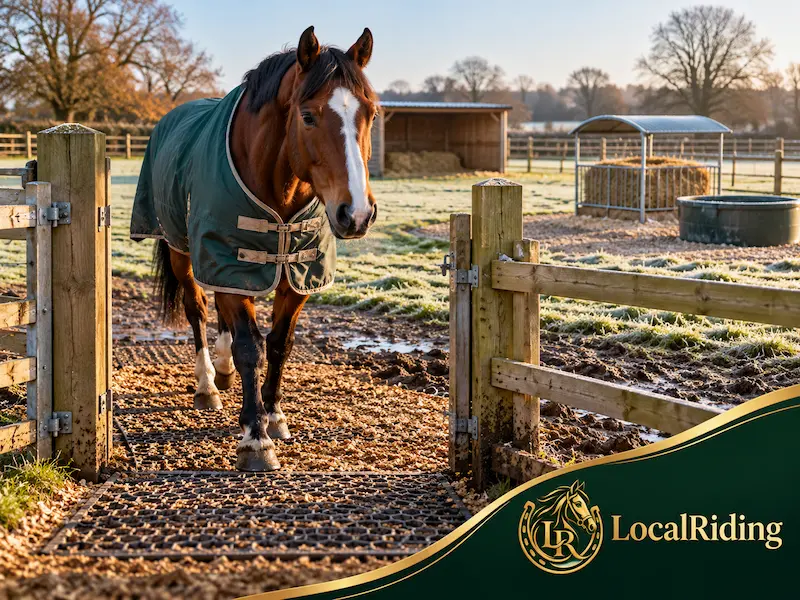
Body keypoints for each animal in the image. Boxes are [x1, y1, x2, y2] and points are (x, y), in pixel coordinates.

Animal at [130, 26, 379, 472]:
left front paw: (274, 414)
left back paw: (223, 370)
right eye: (308, 115)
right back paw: (207, 384)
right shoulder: (230, 263)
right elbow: (250, 348)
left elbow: (280, 344)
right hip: (184, 253)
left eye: (371, 114)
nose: (357, 213)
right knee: (197, 309)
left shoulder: (296, 276)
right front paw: (255, 437)